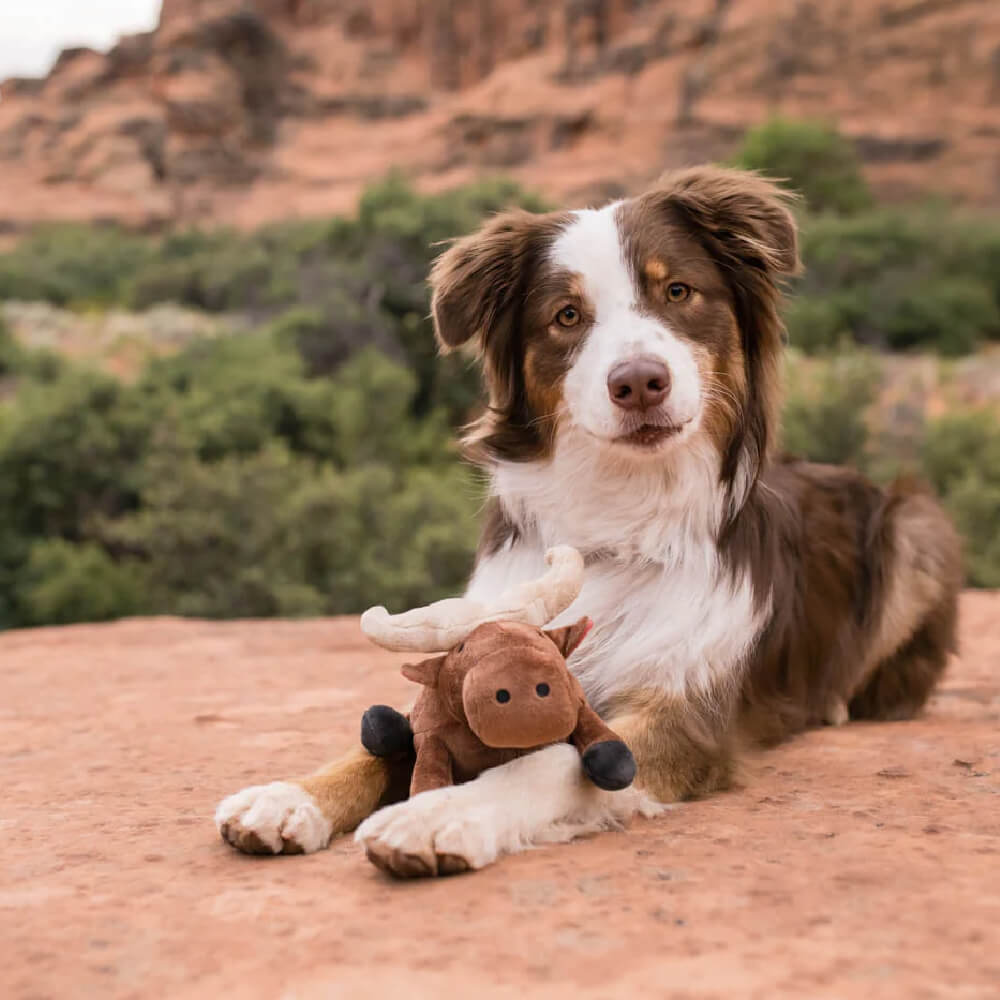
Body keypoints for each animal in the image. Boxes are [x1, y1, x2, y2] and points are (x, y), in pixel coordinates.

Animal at [217, 166, 960, 876]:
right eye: (568, 315)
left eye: (679, 292)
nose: (639, 382)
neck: (620, 514)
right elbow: (380, 743)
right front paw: (291, 795)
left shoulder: (683, 711)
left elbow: (551, 761)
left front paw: (439, 814)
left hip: (917, 524)